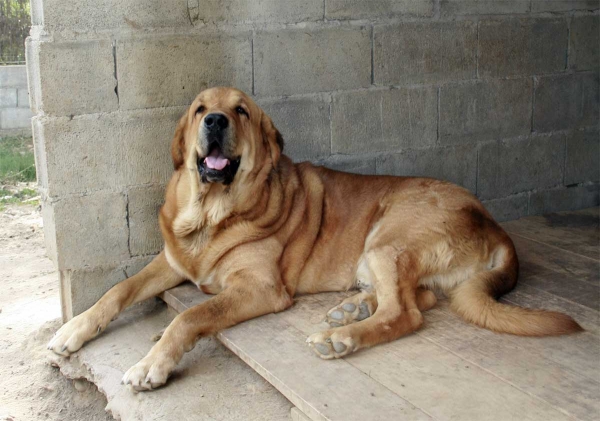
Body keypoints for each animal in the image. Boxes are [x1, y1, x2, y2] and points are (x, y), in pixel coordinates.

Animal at [47, 86, 580, 390]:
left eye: (240, 111)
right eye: (200, 109)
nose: (215, 121)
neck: (211, 214)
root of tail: (492, 221)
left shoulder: (259, 288)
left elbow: (190, 316)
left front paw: (152, 364)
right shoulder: (171, 263)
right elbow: (117, 290)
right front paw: (74, 330)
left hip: (387, 238)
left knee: (406, 313)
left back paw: (342, 336)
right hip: (383, 256)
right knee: (418, 298)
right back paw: (353, 309)